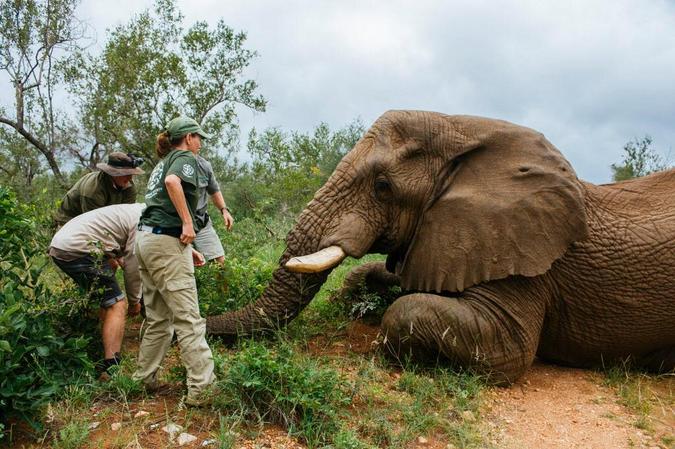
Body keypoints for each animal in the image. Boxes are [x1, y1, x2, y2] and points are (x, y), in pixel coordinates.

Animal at [206, 110, 675, 384]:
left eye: (382, 187)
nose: (202, 326)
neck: (463, 129)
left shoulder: (524, 254)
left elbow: (506, 347)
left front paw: (393, 353)